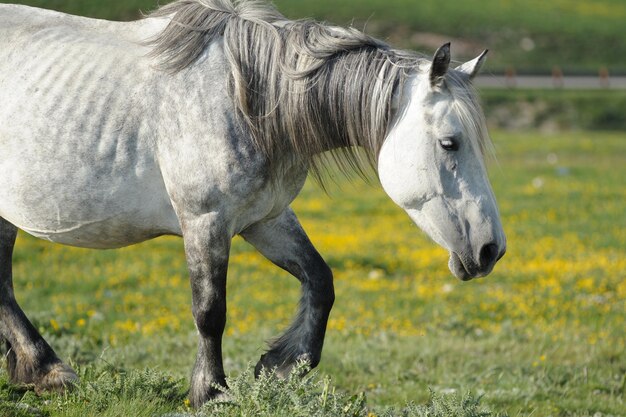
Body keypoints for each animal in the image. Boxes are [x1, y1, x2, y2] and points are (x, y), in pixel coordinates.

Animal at [0, 0, 504, 406]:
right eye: (450, 142)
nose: (490, 250)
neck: (247, 100)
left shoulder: (266, 219)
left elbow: (320, 281)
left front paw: (279, 366)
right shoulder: (205, 222)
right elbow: (210, 311)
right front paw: (212, 391)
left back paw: (40, 372)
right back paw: (49, 371)